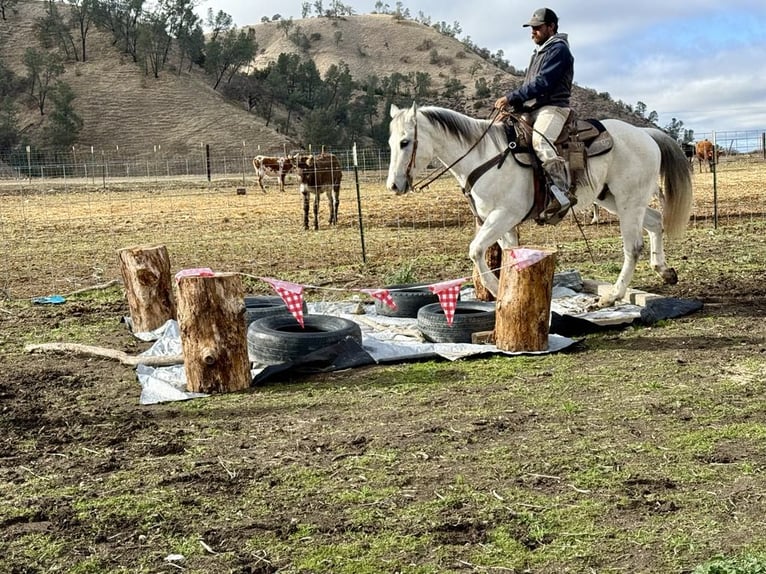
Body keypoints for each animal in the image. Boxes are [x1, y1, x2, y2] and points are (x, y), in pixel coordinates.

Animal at [388, 105, 692, 308]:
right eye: (391, 142)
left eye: (405, 142)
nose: (393, 185)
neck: (484, 157)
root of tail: (646, 134)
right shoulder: (501, 223)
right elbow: (509, 256)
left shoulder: (504, 215)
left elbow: (475, 250)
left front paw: (496, 291)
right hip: (614, 199)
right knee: (655, 221)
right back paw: (665, 271)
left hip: (629, 200)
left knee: (633, 246)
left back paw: (612, 296)